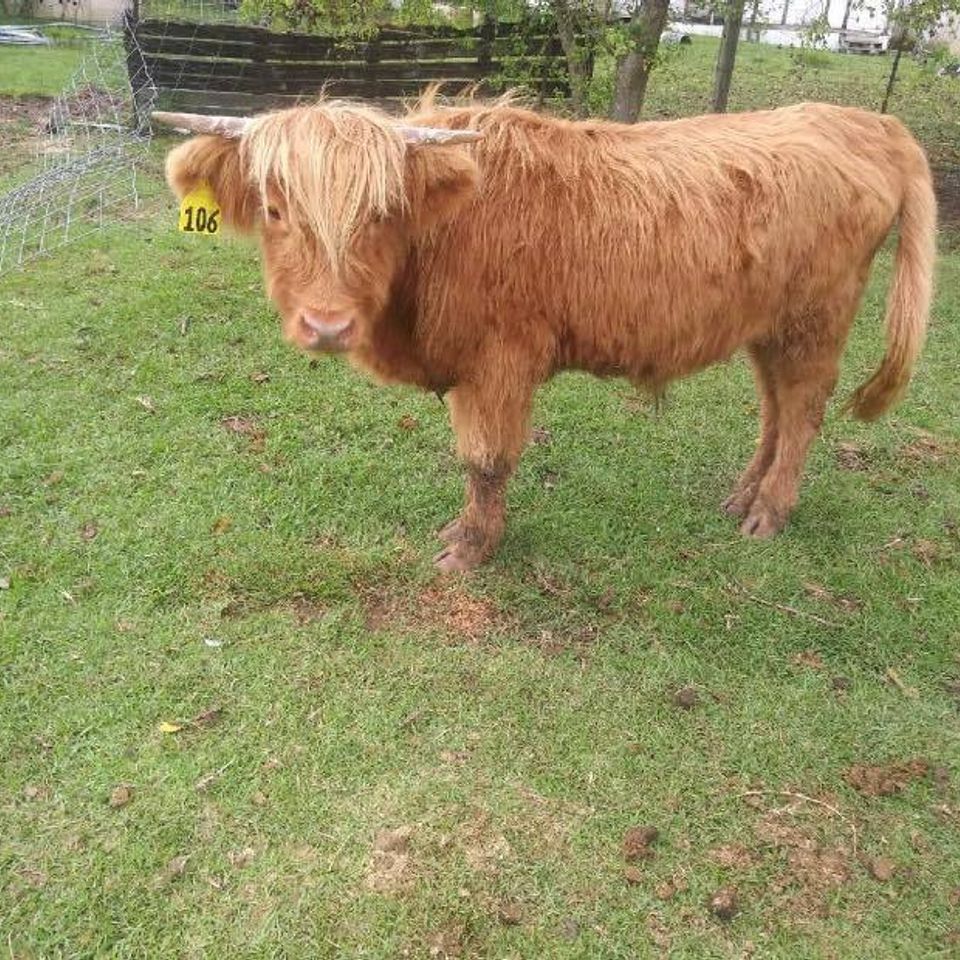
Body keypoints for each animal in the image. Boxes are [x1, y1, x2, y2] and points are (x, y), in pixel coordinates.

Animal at [156, 93, 936, 572]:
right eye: (275, 208)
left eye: (380, 211)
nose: (327, 324)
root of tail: (866, 122)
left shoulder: (499, 360)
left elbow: (485, 459)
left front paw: (471, 547)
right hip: (768, 328)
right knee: (775, 408)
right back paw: (743, 497)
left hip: (816, 321)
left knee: (802, 411)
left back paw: (769, 512)